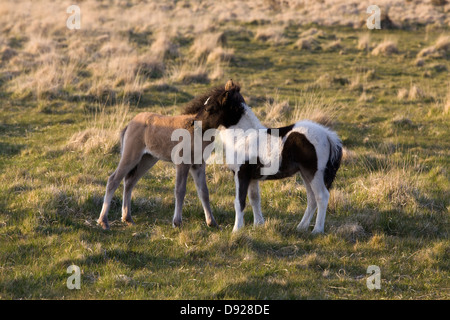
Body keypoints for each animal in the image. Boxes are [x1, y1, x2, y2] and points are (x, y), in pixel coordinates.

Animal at [205, 80, 344, 232]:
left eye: (210, 108)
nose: (196, 123)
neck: (243, 136)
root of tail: (327, 135)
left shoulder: (241, 173)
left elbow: (239, 201)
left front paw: (236, 230)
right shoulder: (252, 177)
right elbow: (254, 198)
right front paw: (258, 225)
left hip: (314, 172)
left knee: (321, 196)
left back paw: (317, 230)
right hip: (305, 173)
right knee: (312, 199)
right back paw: (301, 227)